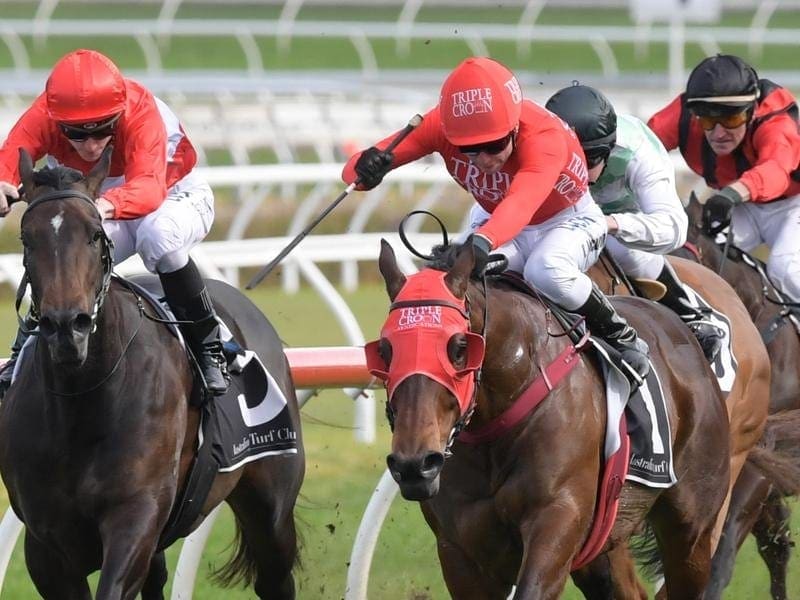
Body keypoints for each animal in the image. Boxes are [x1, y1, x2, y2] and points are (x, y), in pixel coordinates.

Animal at [0, 150, 304, 600]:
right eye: (27, 238)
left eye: (95, 234)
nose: (66, 327)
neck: (84, 402)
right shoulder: (45, 545)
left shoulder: (136, 517)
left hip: (272, 506)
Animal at [368, 240, 732, 600]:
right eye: (384, 350)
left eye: (458, 347)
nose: (415, 465)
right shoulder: (460, 552)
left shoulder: (558, 519)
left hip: (690, 532)